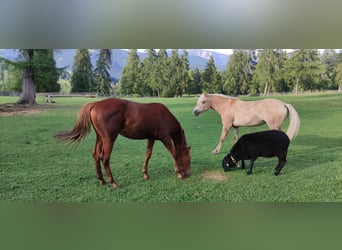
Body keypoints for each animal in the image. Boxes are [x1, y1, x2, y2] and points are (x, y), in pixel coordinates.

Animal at [54, 97, 191, 188]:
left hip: (100, 137)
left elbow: (148, 154)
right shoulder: (165, 137)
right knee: (105, 158)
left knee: (96, 155)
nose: (188, 173)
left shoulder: (151, 138)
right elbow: (174, 153)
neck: (163, 115)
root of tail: (95, 103)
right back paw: (113, 182)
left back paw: (102, 180)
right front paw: (179, 173)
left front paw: (145, 174)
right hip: (109, 138)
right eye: (189, 158)